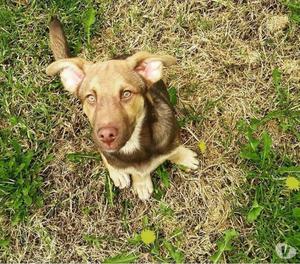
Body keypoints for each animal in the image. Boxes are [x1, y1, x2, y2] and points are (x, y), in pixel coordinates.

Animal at [45, 18, 198, 200]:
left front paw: (184, 157)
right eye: (91, 97)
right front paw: (141, 182)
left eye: (126, 93)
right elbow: (135, 170)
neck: (133, 145)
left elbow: (173, 151)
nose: (106, 136)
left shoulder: (171, 136)